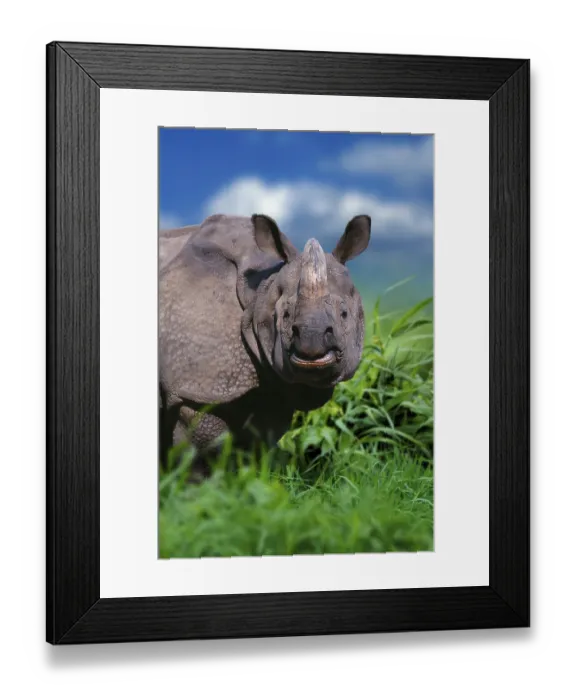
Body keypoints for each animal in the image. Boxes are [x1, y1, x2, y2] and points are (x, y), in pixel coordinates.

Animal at [159, 213, 371, 474]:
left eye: (344, 314)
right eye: (286, 315)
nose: (311, 343)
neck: (261, 290)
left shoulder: (272, 388)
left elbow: (257, 443)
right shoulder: (195, 387)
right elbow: (202, 450)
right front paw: (198, 483)